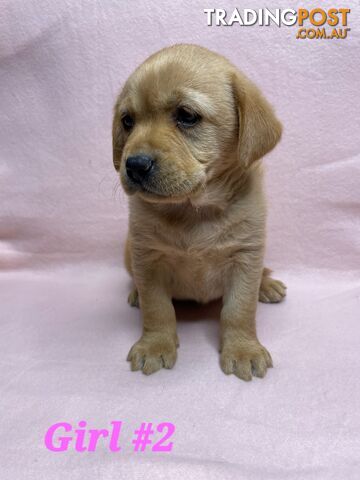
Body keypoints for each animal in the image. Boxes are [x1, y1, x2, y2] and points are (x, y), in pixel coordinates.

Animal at [112, 45, 286, 382]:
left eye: (187, 116)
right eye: (127, 121)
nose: (134, 165)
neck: (193, 210)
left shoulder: (246, 256)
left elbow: (239, 310)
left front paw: (243, 350)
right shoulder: (147, 257)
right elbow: (157, 308)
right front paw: (155, 345)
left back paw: (267, 284)